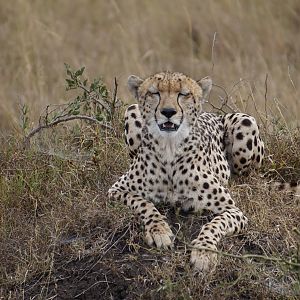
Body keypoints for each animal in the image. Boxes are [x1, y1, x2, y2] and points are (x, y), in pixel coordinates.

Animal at [109, 71, 264, 272]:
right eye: (154, 93)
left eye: (183, 94)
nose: (168, 112)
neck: (170, 147)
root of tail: (213, 113)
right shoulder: (116, 190)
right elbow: (144, 204)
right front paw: (159, 231)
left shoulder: (233, 210)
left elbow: (215, 223)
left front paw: (204, 251)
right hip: (131, 109)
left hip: (246, 121)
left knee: (245, 174)